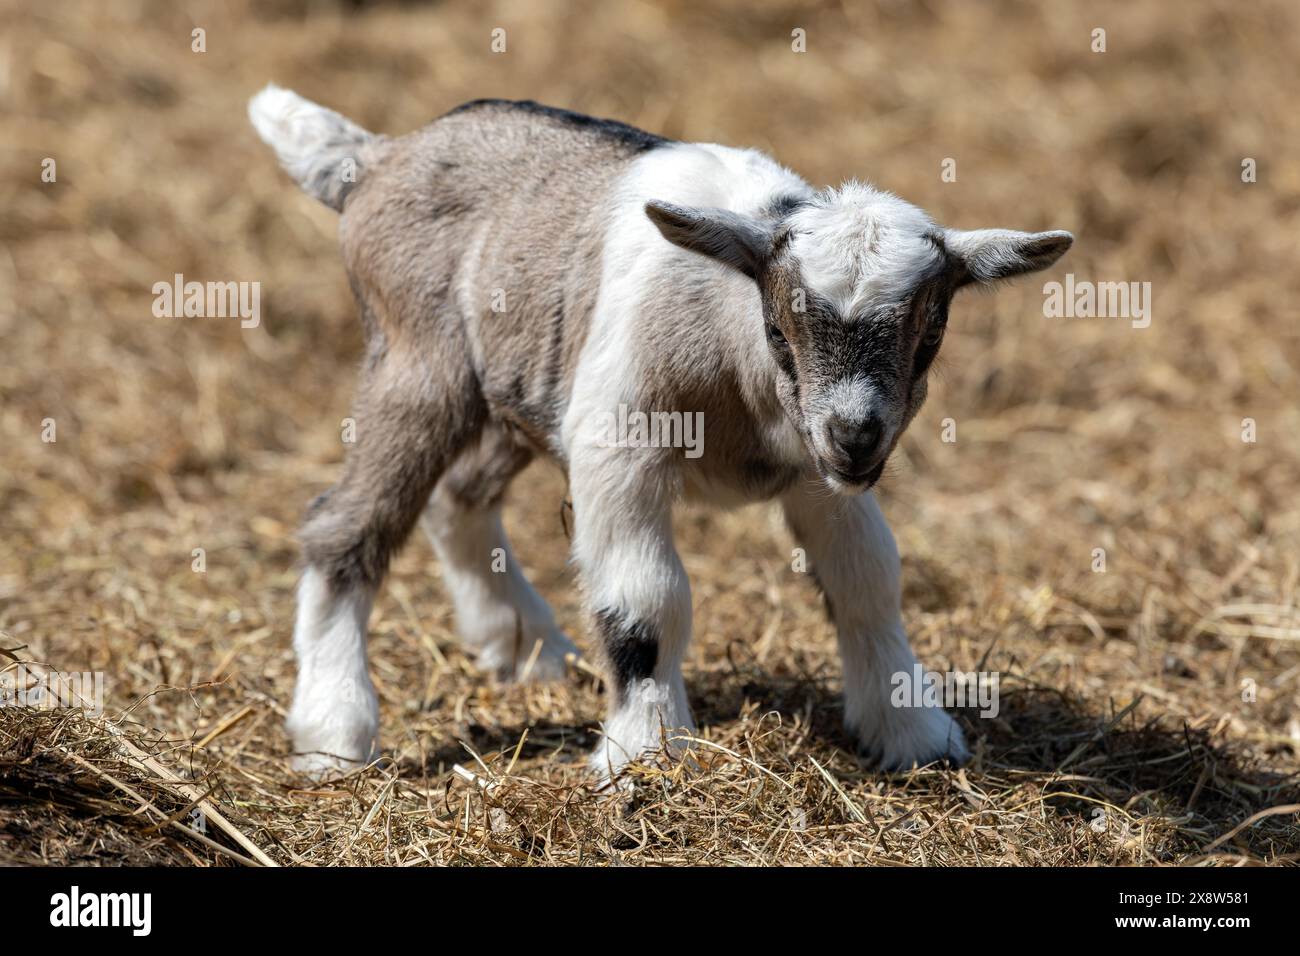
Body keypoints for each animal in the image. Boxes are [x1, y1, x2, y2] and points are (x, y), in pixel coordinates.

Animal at [248, 85, 1071, 780]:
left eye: (929, 337)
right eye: (780, 329)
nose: (857, 439)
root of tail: (376, 158)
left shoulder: (816, 470)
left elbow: (868, 580)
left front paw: (911, 732)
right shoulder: (622, 441)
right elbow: (647, 599)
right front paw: (649, 752)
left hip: (523, 380)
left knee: (459, 495)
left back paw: (525, 648)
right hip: (418, 359)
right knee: (343, 525)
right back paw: (335, 733)